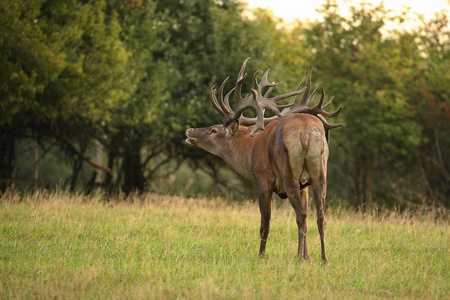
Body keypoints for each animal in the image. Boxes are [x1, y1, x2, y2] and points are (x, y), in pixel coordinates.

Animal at [185, 58, 342, 262]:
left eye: (213, 129)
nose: (190, 131)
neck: (250, 151)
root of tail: (306, 133)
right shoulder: (304, 186)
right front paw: (307, 256)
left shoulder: (263, 180)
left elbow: (264, 224)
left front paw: (261, 256)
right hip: (320, 173)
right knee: (319, 217)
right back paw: (323, 258)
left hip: (288, 173)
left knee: (301, 214)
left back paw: (299, 258)